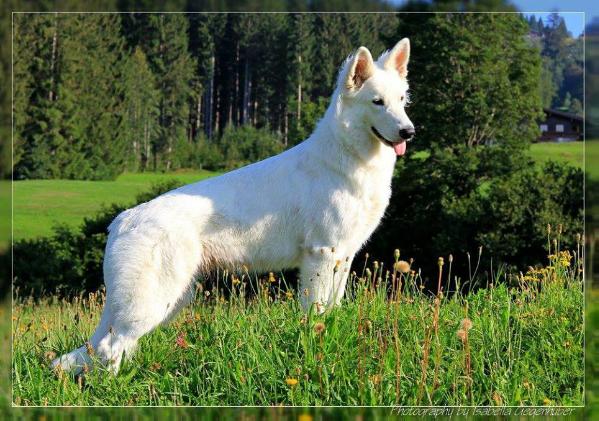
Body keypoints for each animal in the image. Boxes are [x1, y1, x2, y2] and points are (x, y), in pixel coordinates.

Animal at [54, 39, 414, 374]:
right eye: (377, 102)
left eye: (401, 100)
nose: (408, 131)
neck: (347, 159)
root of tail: (124, 220)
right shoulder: (321, 255)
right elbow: (317, 312)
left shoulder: (343, 256)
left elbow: (334, 307)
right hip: (153, 300)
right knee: (110, 346)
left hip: (170, 299)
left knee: (105, 347)